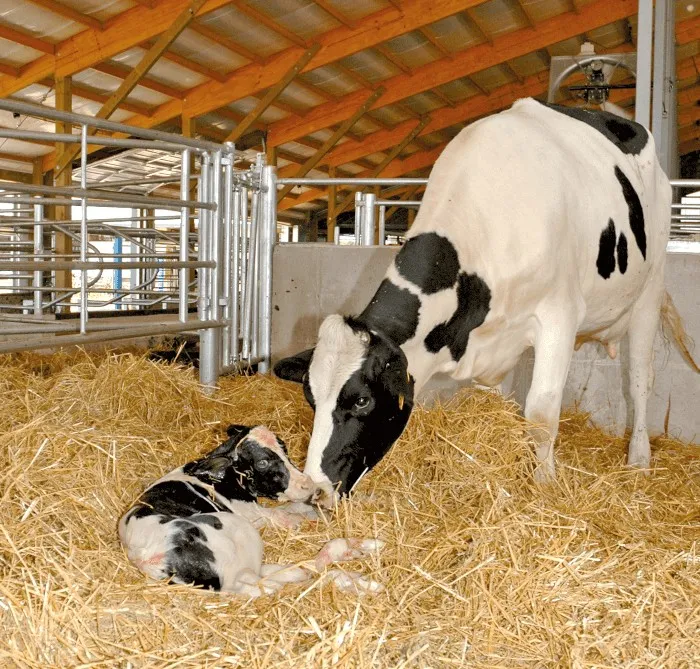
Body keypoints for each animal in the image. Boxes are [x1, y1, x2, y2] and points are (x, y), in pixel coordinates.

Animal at [119, 424, 383, 596]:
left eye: (284, 448)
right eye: (263, 462)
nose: (307, 484)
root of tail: (148, 556)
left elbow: (296, 507)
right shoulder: (252, 514)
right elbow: (290, 518)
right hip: (237, 532)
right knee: (286, 580)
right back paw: (356, 567)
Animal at [274, 97, 697, 506]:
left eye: (361, 401)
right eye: (310, 396)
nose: (315, 490)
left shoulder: (559, 316)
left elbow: (541, 413)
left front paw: (544, 486)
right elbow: (489, 408)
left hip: (649, 290)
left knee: (639, 379)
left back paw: (638, 460)